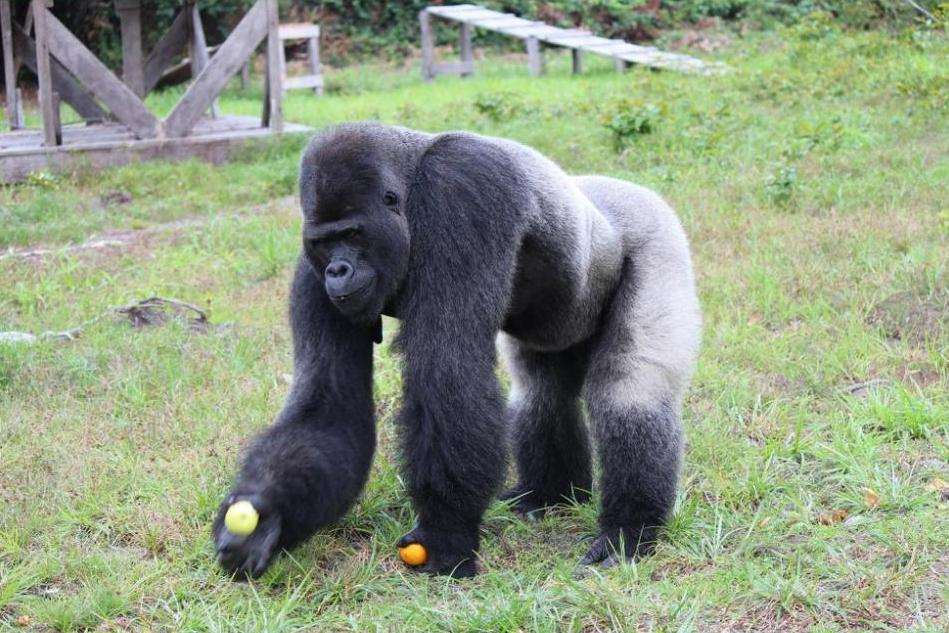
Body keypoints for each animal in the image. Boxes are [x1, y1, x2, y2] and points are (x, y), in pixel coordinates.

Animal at [217, 121, 704, 576]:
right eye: (324, 242)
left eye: (353, 235)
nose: (338, 270)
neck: (410, 177)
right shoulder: (310, 273)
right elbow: (328, 407)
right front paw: (267, 517)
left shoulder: (460, 189)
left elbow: (448, 370)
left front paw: (445, 531)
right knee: (540, 390)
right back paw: (552, 495)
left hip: (656, 233)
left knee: (632, 386)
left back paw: (631, 528)